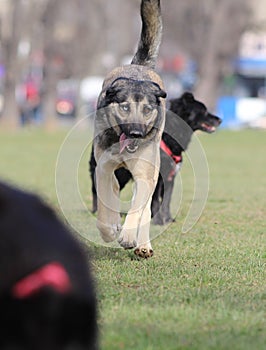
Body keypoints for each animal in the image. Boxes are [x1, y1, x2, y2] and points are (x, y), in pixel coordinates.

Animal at [90, 91, 221, 226]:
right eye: (204, 110)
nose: (220, 119)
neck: (168, 138)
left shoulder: (170, 178)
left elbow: (166, 201)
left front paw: (168, 219)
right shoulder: (156, 178)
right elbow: (156, 201)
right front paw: (157, 221)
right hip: (119, 173)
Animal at [92, 0, 165, 258]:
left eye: (147, 109)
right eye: (124, 107)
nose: (136, 134)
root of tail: (139, 66)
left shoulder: (144, 174)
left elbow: (137, 208)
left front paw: (127, 236)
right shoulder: (103, 167)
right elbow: (106, 201)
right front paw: (109, 230)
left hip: (153, 166)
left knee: (145, 208)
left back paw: (143, 245)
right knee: (113, 189)